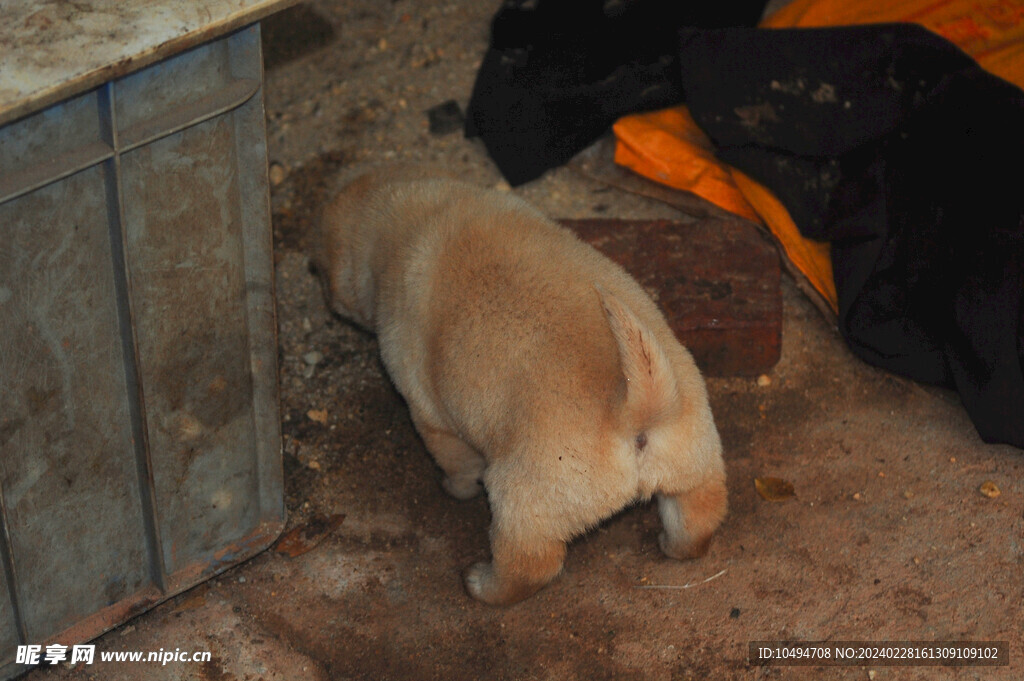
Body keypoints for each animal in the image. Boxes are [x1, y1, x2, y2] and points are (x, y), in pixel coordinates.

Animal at [315, 166, 724, 602]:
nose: (321, 285)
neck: (399, 221)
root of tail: (636, 404)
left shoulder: (431, 417)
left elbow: (457, 465)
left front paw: (453, 488)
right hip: (696, 466)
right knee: (696, 521)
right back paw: (673, 544)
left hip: (522, 501)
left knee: (529, 565)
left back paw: (480, 583)